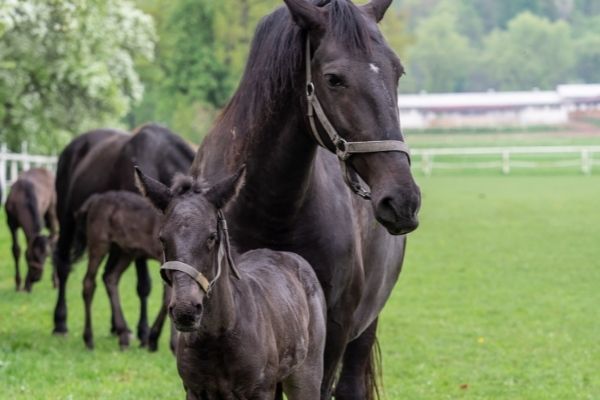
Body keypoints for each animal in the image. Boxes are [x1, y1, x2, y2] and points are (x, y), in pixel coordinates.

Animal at [75, 191, 164, 350]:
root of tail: (95, 200)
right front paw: (153, 340)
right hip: (99, 243)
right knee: (89, 282)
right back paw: (89, 339)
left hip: (125, 251)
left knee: (111, 277)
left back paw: (123, 336)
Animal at [137, 167, 328, 400]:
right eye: (162, 238)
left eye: (211, 236)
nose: (185, 310)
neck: (217, 338)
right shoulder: (194, 390)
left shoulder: (259, 391)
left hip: (306, 374)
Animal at [190, 1, 420, 398]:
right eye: (334, 78)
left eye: (398, 72)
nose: (402, 199)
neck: (270, 208)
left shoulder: (334, 328)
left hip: (364, 325)